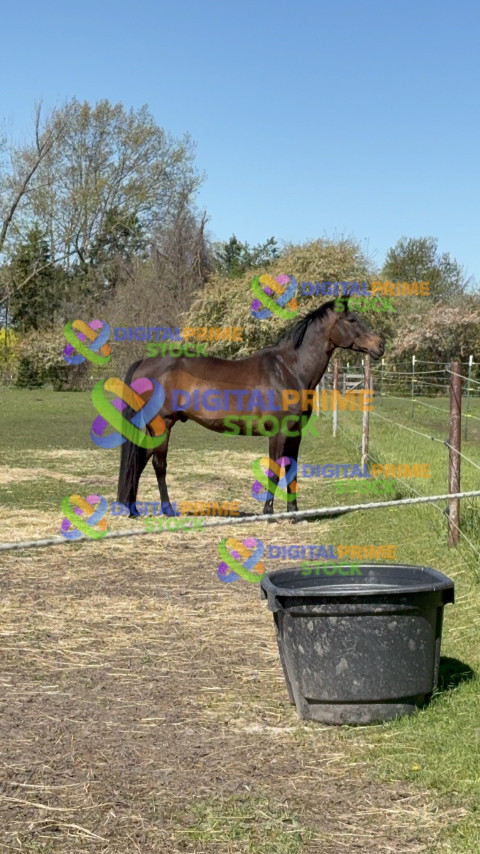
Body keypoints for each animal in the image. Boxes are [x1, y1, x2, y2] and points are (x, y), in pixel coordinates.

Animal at [117, 296, 384, 518]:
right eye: (352, 319)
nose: (379, 345)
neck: (288, 370)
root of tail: (144, 363)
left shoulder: (295, 432)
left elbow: (292, 469)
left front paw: (294, 512)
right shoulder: (278, 432)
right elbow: (275, 469)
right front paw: (268, 512)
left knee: (140, 460)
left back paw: (133, 510)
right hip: (162, 424)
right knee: (158, 465)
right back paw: (167, 510)